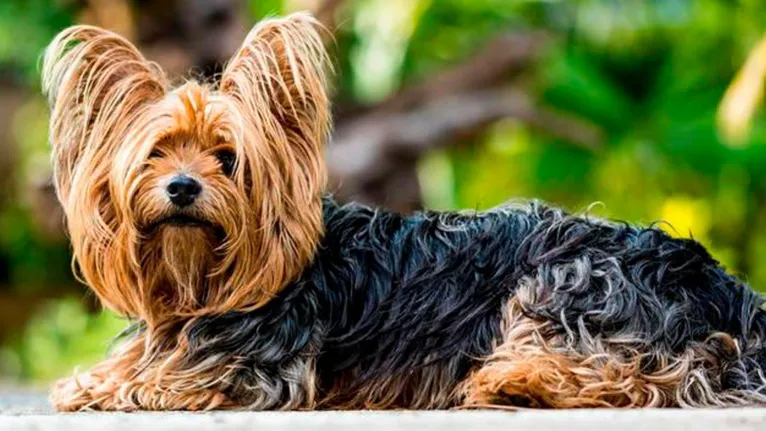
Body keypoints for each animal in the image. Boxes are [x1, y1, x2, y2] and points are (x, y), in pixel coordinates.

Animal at [42, 13, 766, 412]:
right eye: (157, 153)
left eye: (229, 158)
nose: (184, 187)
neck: (201, 279)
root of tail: (727, 287)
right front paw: (96, 379)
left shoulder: (259, 371)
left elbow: (159, 382)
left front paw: (106, 388)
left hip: (574, 280)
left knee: (657, 373)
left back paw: (516, 383)